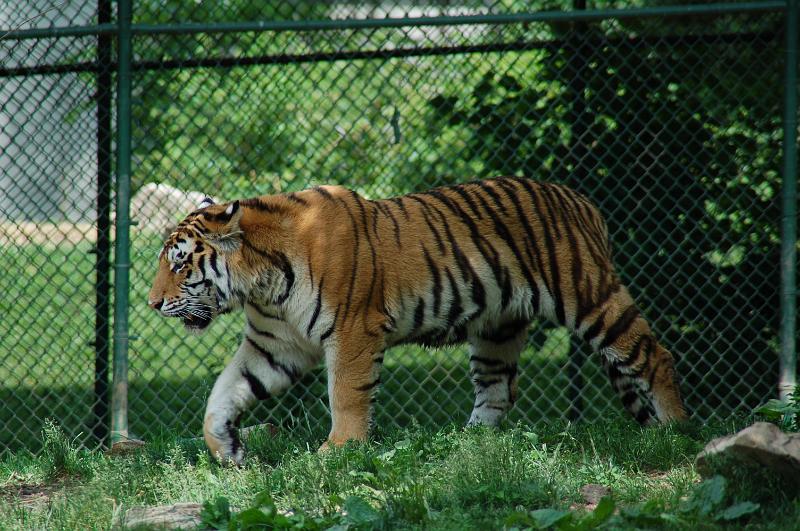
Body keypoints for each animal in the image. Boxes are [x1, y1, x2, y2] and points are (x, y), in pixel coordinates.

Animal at [147, 176, 687, 463]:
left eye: (179, 264)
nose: (152, 304)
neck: (261, 283)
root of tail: (582, 201)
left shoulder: (353, 331)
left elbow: (345, 395)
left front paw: (338, 451)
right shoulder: (272, 346)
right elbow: (221, 394)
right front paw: (227, 449)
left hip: (592, 299)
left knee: (653, 354)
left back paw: (676, 431)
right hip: (497, 329)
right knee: (498, 390)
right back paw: (467, 446)